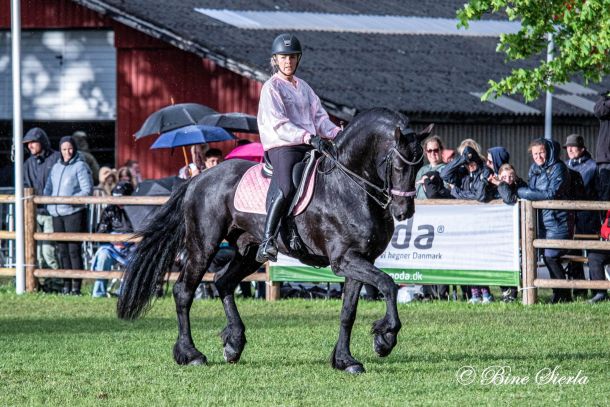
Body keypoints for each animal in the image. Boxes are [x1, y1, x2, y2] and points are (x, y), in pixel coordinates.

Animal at [117, 108, 429, 374]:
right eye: (397, 164)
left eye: (420, 165)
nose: (403, 211)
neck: (348, 186)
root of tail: (197, 179)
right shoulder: (345, 260)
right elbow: (388, 284)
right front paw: (385, 339)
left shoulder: (359, 260)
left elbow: (348, 312)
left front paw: (345, 360)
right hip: (203, 247)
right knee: (184, 291)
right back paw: (191, 354)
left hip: (247, 251)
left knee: (223, 282)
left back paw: (234, 344)